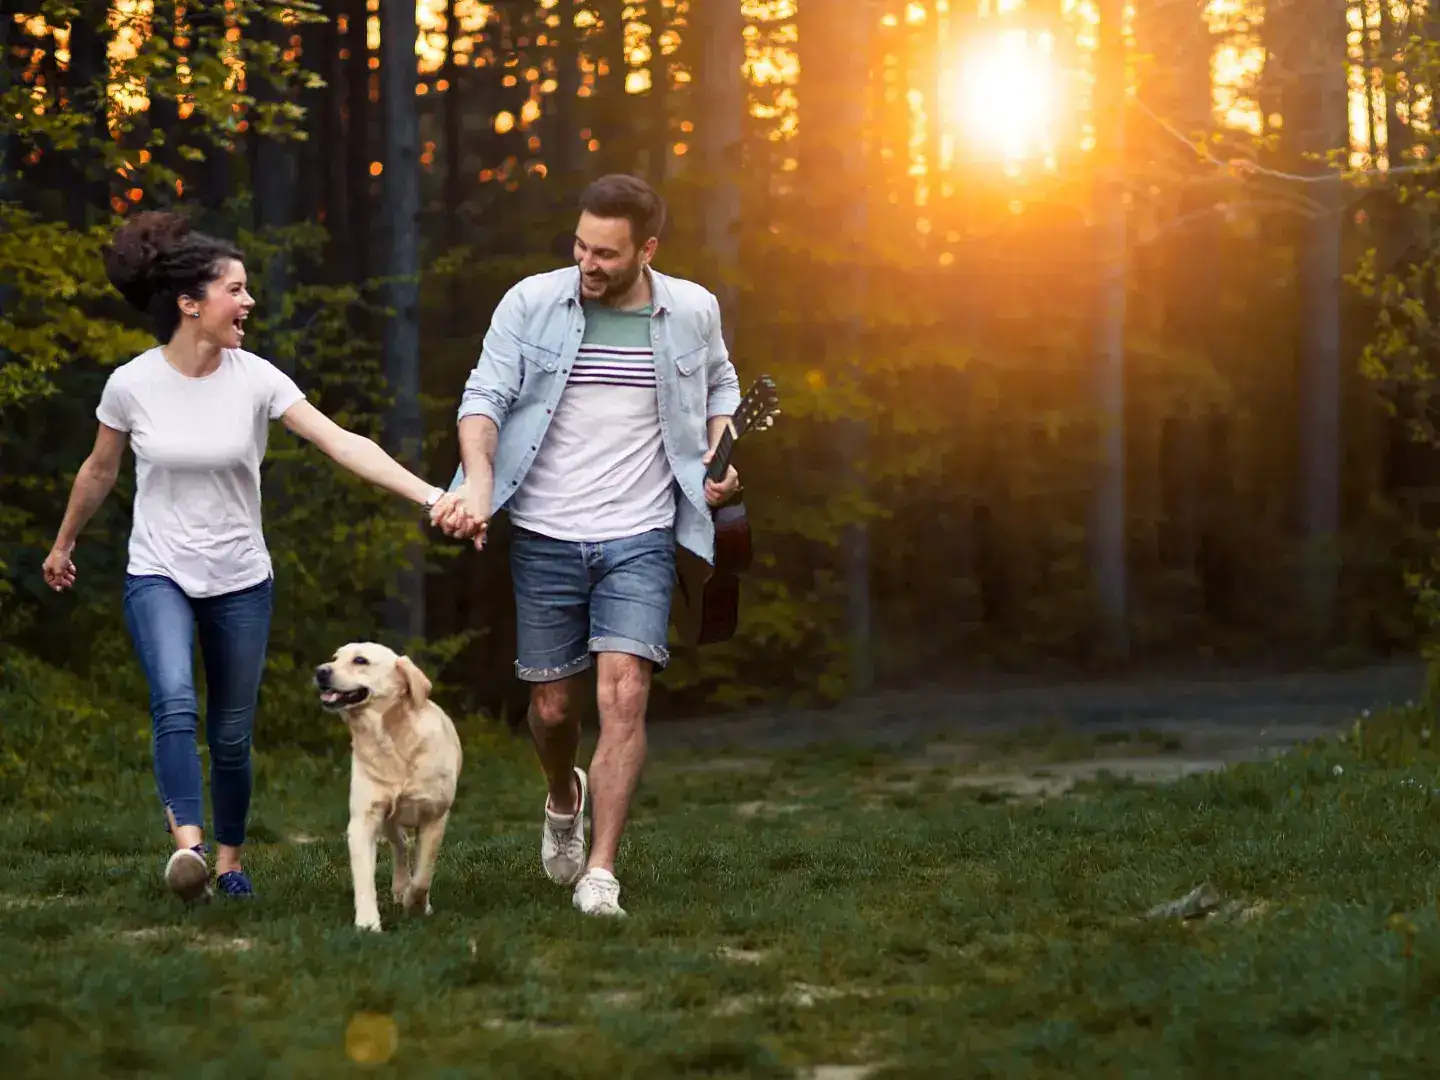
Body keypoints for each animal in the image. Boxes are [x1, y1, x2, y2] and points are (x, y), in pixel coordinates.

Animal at [313, 648, 460, 933]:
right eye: (335, 658)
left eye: (360, 660)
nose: (321, 671)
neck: (389, 740)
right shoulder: (363, 820)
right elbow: (364, 877)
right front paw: (368, 922)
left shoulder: (434, 817)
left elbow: (423, 874)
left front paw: (416, 903)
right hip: (390, 822)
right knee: (400, 848)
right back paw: (400, 886)